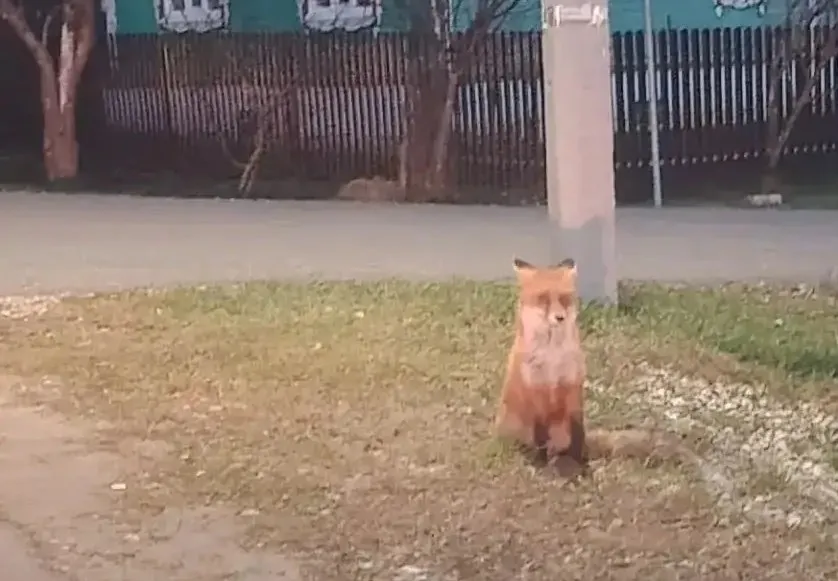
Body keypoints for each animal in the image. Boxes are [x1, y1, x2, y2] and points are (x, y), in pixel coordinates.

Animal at [494, 257, 685, 478]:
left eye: (564, 298)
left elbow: (577, 435)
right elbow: (540, 437)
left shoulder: (572, 386)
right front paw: (542, 464)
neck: (552, 356)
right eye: (543, 299)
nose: (559, 317)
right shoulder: (535, 389)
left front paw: (581, 466)